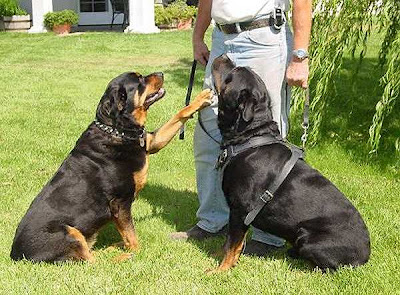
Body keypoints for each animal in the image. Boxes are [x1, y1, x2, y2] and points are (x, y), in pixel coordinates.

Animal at [10, 71, 212, 264]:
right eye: (139, 81)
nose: (161, 73)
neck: (117, 130)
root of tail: (16, 255)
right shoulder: (119, 203)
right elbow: (132, 237)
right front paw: (137, 252)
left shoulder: (152, 141)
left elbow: (179, 114)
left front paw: (200, 99)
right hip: (68, 232)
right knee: (91, 262)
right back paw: (121, 256)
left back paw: (114, 247)